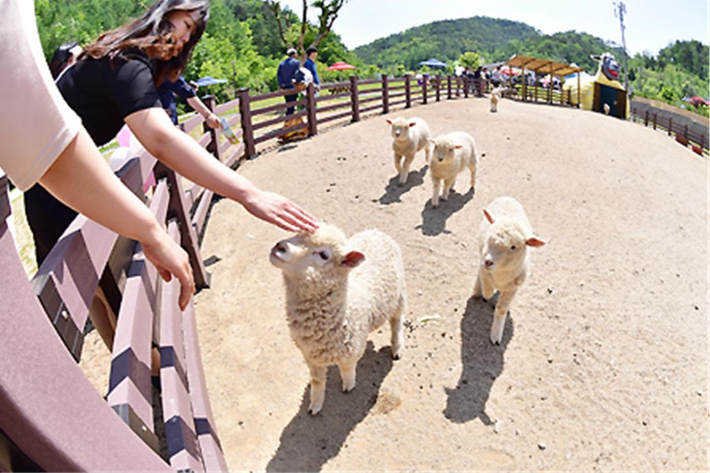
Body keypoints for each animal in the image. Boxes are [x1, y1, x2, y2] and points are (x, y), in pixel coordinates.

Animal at [272, 223, 408, 412]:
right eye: (297, 233)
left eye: (324, 255)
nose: (280, 247)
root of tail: (377, 232)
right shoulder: (310, 356)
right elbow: (317, 381)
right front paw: (315, 405)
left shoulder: (350, 352)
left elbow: (347, 369)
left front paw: (349, 385)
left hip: (399, 294)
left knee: (397, 321)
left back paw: (397, 347)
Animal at [476, 195, 548, 342]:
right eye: (489, 237)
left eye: (513, 247)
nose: (488, 262)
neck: (501, 274)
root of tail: (507, 197)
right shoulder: (484, 269)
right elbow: (487, 292)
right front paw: (485, 293)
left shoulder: (513, 288)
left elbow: (501, 309)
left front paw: (496, 336)